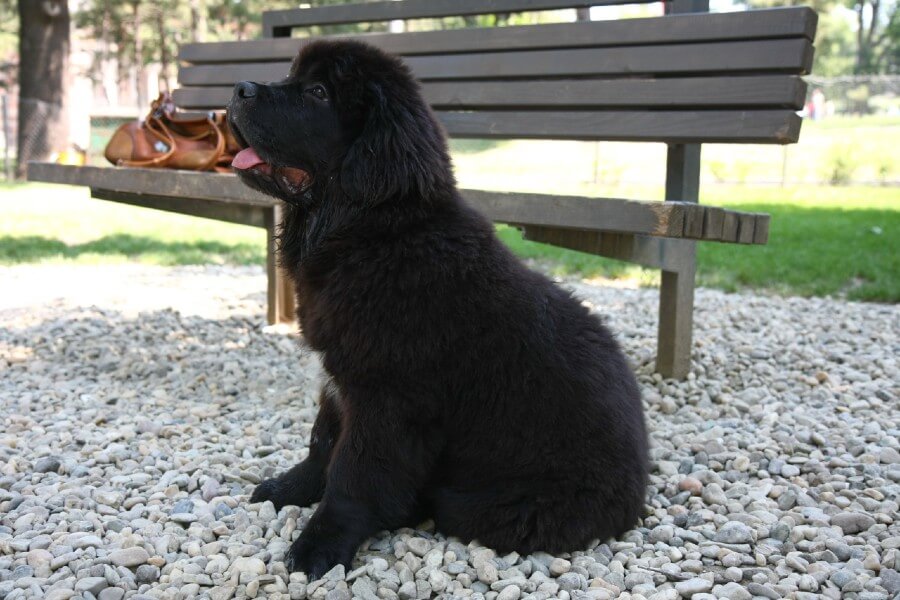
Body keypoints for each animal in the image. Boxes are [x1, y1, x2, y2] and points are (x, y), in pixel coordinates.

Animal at [225, 39, 648, 580]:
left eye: (318, 92)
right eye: (290, 76)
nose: (239, 89)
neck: (370, 232)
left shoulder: (388, 399)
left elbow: (353, 473)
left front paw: (319, 546)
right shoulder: (338, 378)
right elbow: (321, 443)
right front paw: (289, 489)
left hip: (494, 505)